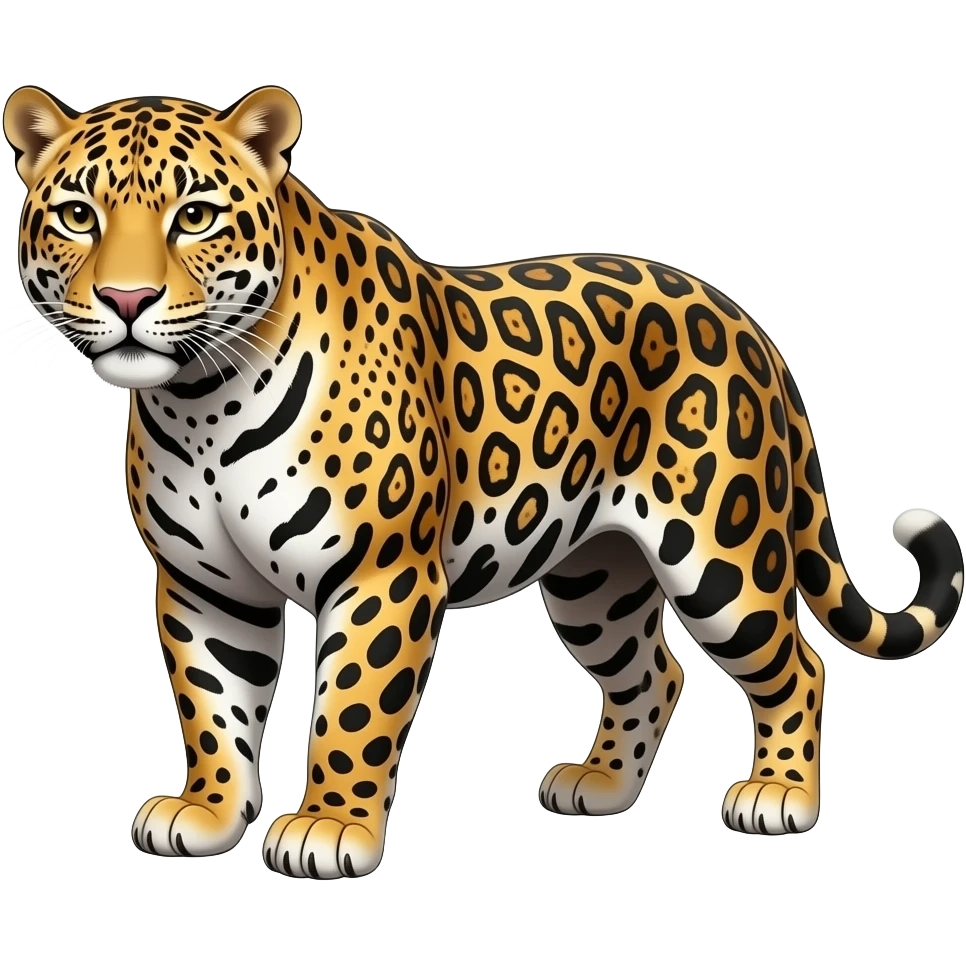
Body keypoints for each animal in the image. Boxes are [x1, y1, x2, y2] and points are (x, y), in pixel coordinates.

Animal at [4, 83, 963, 878]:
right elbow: (213, 705)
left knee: (797, 664)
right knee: (654, 672)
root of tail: (746, 321)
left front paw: (329, 829)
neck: (202, 400)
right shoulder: (204, 584)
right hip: (594, 579)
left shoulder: (382, 574)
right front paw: (206, 814)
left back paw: (781, 797)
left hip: (720, 556)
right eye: (79, 215)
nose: (128, 300)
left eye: (196, 216)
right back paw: (601, 787)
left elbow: (353, 707)